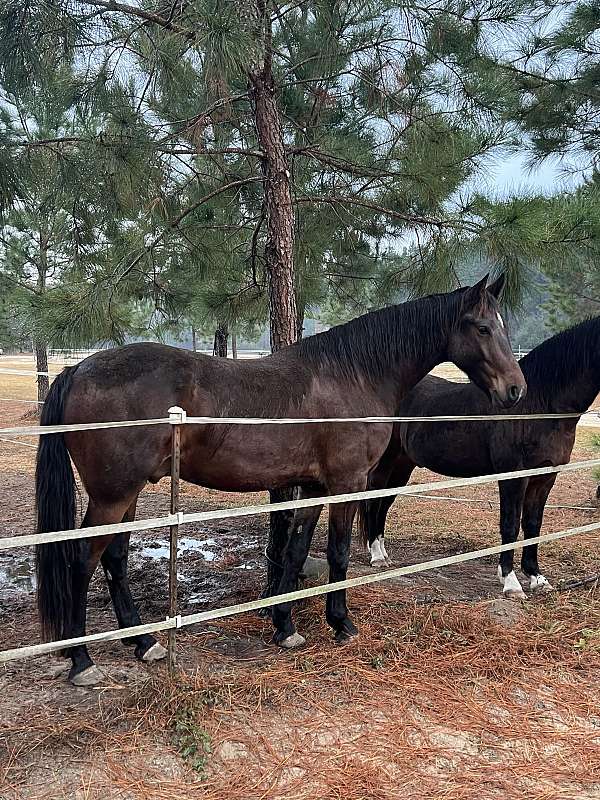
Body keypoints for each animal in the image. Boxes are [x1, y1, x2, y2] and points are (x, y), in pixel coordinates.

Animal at [34, 278, 524, 684]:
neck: (353, 375)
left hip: (129, 493)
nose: (516, 390)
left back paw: (143, 643)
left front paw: (285, 627)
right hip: (112, 496)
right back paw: (81, 661)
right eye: (483, 327)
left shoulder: (313, 488)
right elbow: (339, 553)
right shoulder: (346, 483)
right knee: (82, 560)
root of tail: (77, 370)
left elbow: (295, 551)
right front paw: (341, 623)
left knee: (114, 559)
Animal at [358, 316, 596, 596]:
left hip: (403, 466)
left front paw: (536, 577)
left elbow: (533, 524)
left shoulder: (545, 477)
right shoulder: (513, 476)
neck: (538, 406)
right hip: (385, 463)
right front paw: (511, 582)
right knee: (373, 502)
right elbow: (510, 524)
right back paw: (376, 556)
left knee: (384, 504)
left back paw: (383, 553)